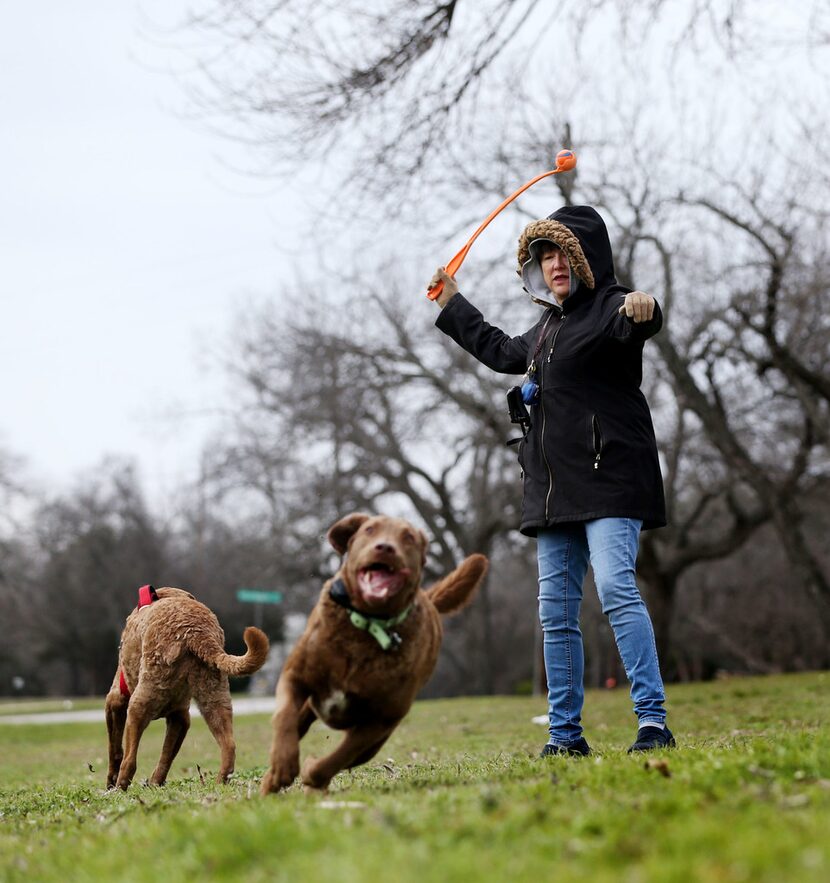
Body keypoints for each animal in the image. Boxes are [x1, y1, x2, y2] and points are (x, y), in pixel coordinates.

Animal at [105, 592, 270, 792]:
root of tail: (196, 633)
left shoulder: (115, 701)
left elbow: (115, 749)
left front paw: (111, 781)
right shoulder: (181, 718)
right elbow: (166, 756)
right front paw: (156, 783)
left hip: (138, 704)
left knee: (130, 760)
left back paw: (119, 786)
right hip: (215, 699)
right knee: (229, 746)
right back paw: (218, 782)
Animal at [264, 512, 490, 796]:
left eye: (408, 537)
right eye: (370, 530)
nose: (385, 547)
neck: (367, 625)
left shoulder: (380, 721)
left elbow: (337, 758)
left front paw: (311, 771)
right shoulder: (295, 676)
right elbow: (284, 717)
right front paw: (283, 765)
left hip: (377, 739)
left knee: (350, 757)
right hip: (310, 707)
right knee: (297, 724)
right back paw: (269, 783)